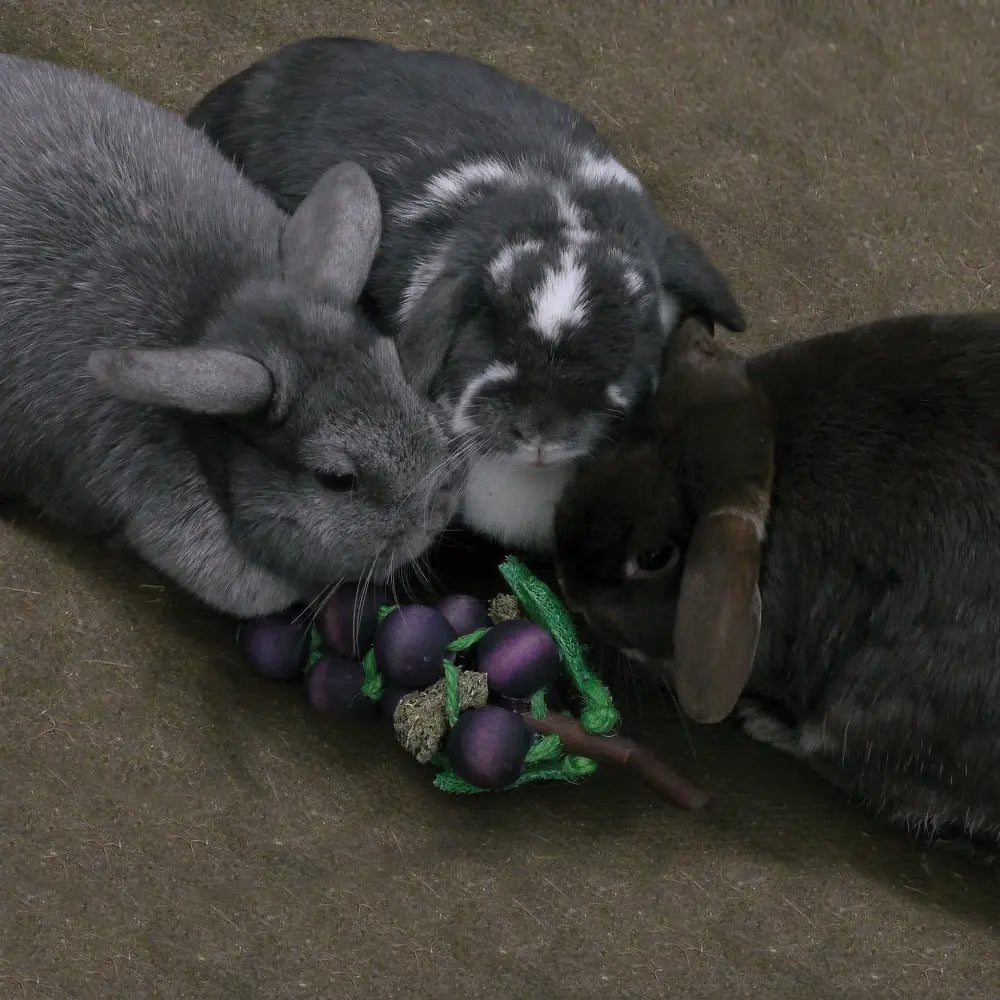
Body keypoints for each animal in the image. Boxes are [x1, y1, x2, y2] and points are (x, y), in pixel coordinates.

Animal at [553, 313, 1000, 847]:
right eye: (618, 440)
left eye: (655, 556)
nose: (569, 586)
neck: (775, 463)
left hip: (867, 709)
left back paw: (764, 724)